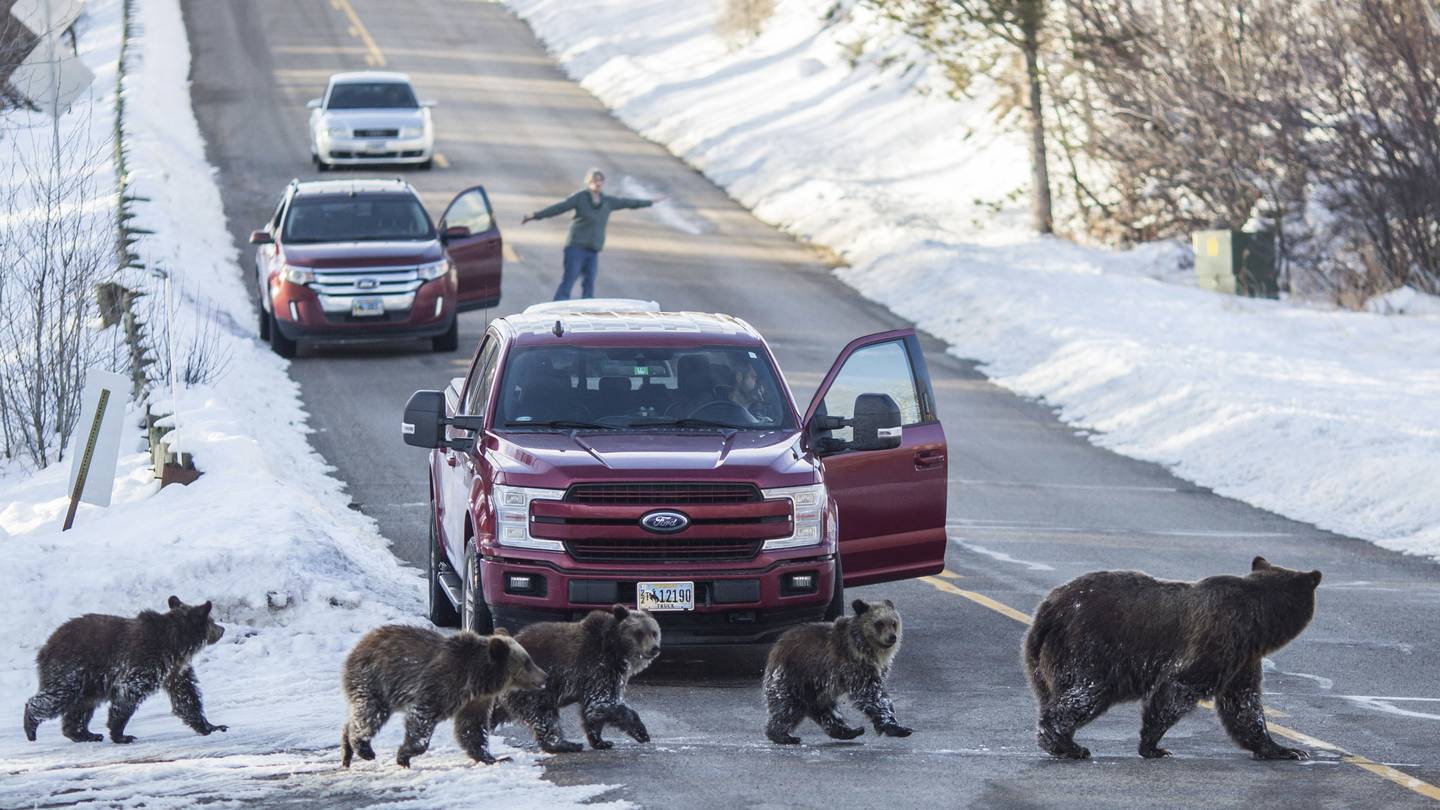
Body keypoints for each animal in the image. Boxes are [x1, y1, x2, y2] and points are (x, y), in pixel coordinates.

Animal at [23, 596, 227, 743]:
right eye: (212, 620)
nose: (223, 629)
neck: (175, 644)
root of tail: (46, 645)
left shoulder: (174, 671)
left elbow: (187, 698)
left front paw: (213, 726)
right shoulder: (145, 661)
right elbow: (129, 693)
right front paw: (121, 734)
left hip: (89, 681)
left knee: (82, 705)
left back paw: (85, 734)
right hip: (72, 668)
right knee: (57, 696)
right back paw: (31, 725)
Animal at [339, 625, 547, 760]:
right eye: (527, 662)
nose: (545, 676)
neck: (477, 678)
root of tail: (359, 645)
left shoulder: (476, 701)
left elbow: (472, 727)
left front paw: (489, 756)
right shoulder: (440, 685)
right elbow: (422, 718)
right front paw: (405, 754)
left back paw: (347, 749)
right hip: (375, 680)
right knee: (371, 714)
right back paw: (363, 748)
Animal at [489, 599, 659, 749]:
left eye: (654, 632)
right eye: (639, 633)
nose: (654, 648)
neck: (616, 649)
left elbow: (594, 711)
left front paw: (600, 741)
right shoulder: (599, 666)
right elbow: (604, 702)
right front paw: (642, 732)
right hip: (534, 683)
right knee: (544, 714)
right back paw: (564, 744)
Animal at [760, 596, 904, 743]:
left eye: (893, 622)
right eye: (879, 623)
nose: (892, 637)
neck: (869, 649)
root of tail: (776, 645)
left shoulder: (878, 667)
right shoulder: (854, 666)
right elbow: (872, 694)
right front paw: (895, 726)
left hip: (816, 687)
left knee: (825, 710)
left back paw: (849, 730)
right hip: (795, 676)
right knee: (787, 705)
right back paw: (781, 734)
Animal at [1025, 553, 1319, 755]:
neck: (1260, 624)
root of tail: (1049, 608)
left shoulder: (1243, 660)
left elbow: (1244, 704)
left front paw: (1283, 749)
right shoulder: (1220, 640)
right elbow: (1179, 687)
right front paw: (1153, 746)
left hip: (1039, 659)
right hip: (1089, 647)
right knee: (1086, 692)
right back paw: (1067, 745)